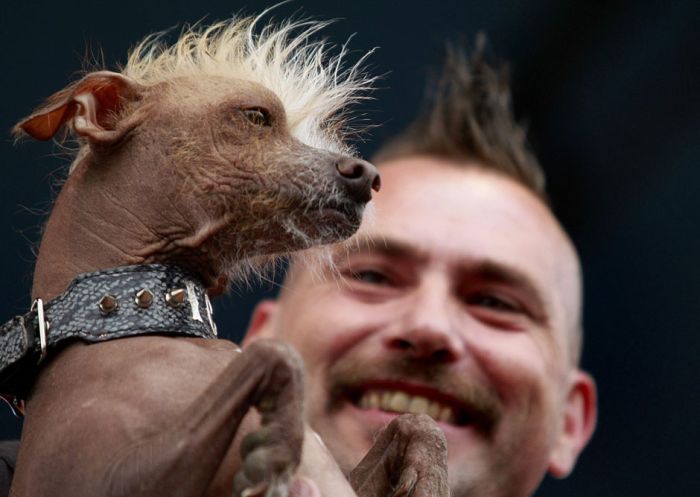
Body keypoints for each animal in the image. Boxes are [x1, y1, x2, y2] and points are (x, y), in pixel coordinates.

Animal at [1, 11, 448, 496]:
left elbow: (417, 422)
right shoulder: (113, 480)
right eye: (256, 116)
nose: (368, 176)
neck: (140, 316)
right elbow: (275, 353)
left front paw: (427, 476)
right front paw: (277, 453)